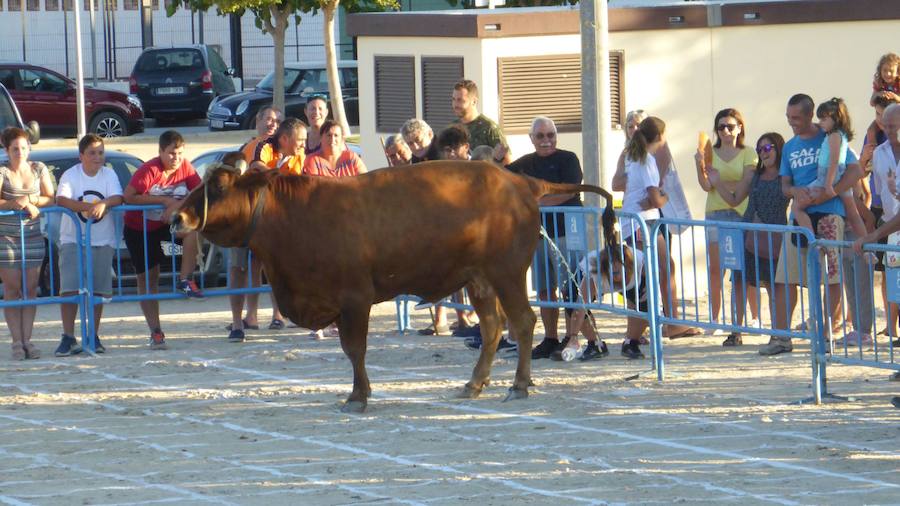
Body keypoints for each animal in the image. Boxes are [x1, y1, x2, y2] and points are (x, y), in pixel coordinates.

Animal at [172, 159, 615, 413]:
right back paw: (473, 384)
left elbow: (354, 349)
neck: (296, 215)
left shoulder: (355, 298)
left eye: (219, 187)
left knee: (522, 323)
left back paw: (519, 385)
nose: (178, 217)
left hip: (506, 273)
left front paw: (358, 396)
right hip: (479, 281)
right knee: (492, 329)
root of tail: (519, 182)